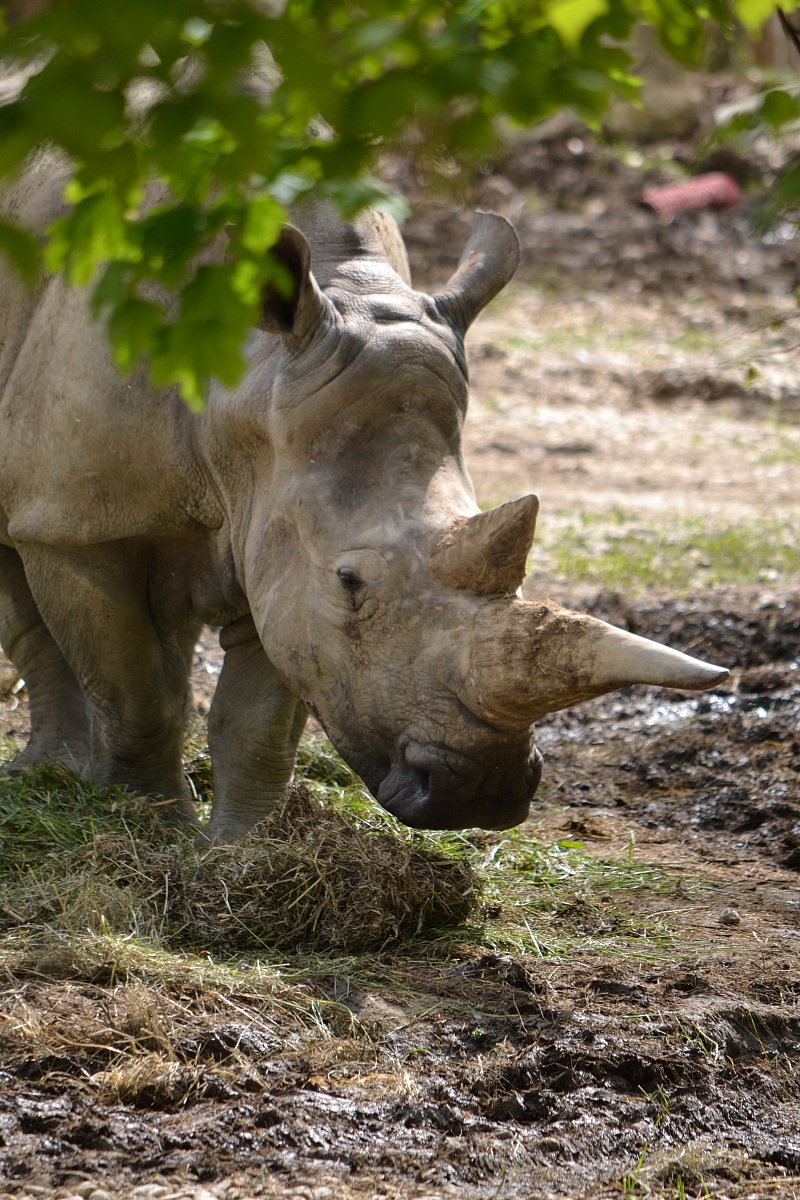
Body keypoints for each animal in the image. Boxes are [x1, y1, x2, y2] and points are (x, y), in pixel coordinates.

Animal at [0, 156, 728, 841]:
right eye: (350, 582)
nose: (478, 792)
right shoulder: (76, 526)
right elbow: (135, 692)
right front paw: (149, 827)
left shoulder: (277, 530)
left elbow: (259, 715)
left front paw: (241, 848)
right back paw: (58, 776)